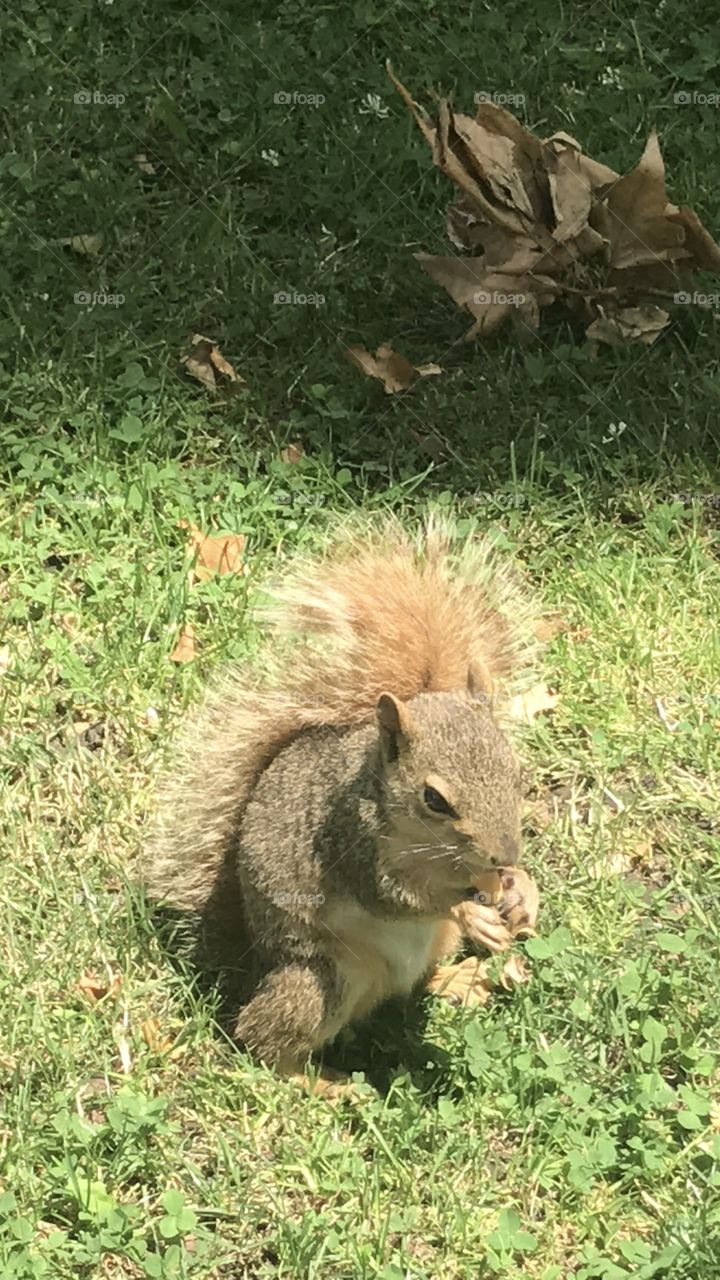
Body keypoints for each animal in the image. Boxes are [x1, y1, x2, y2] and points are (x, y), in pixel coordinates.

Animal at [147, 516, 542, 1093]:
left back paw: (462, 976)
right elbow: (396, 897)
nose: (505, 856)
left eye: (518, 772)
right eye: (433, 799)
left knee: (416, 983)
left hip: (425, 950)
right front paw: (471, 910)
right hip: (320, 981)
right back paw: (324, 1085)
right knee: (263, 1041)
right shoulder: (349, 843)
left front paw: (522, 892)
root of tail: (252, 961)